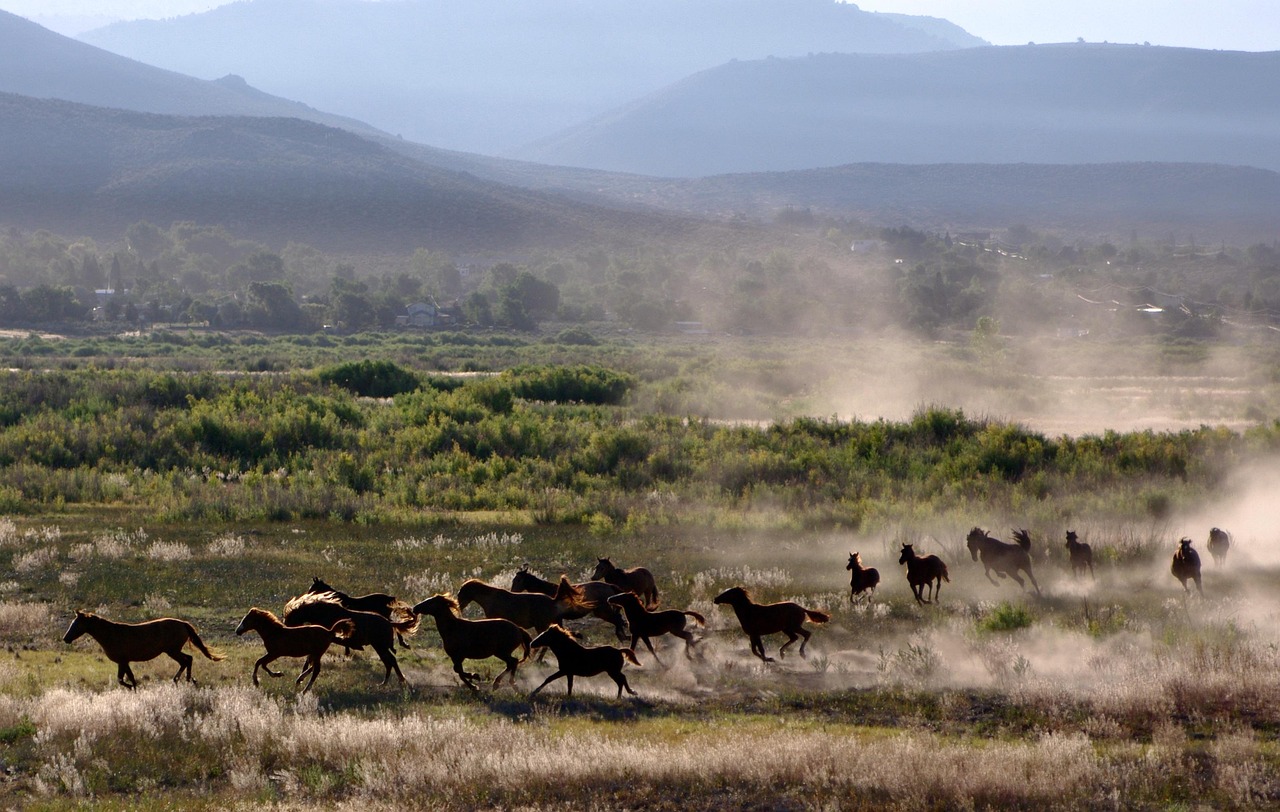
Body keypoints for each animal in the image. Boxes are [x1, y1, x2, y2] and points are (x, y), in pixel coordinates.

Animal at [62, 611, 223, 689]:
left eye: (76, 624)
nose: (65, 638)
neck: (111, 634)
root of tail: (183, 623)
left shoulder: (123, 661)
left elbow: (124, 680)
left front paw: (133, 689)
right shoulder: (124, 662)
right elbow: (126, 679)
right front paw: (133, 689)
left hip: (172, 651)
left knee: (186, 660)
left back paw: (182, 680)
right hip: (173, 650)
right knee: (188, 659)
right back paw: (188, 680)